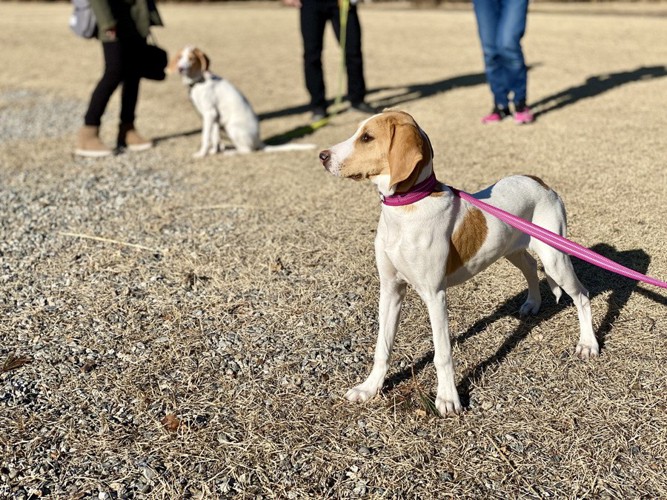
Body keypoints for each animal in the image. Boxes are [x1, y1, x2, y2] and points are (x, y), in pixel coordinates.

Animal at [167, 46, 314, 158]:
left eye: (191, 59)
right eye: (179, 57)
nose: (180, 68)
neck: (199, 82)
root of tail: (258, 141)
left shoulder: (209, 113)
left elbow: (205, 137)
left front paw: (202, 154)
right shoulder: (214, 117)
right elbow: (214, 137)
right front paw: (214, 151)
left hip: (232, 127)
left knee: (247, 150)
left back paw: (231, 152)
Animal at [316, 110, 596, 418]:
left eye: (367, 137)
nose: (322, 156)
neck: (406, 210)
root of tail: (540, 181)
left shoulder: (435, 295)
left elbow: (442, 354)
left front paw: (448, 399)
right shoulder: (390, 289)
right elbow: (383, 347)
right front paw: (370, 388)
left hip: (555, 257)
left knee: (582, 295)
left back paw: (588, 343)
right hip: (511, 249)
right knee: (531, 268)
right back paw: (533, 304)